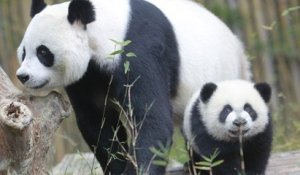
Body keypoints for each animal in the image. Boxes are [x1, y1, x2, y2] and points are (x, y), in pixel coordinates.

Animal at [15, 0, 251, 174]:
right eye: (24, 52)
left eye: (43, 52)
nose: (23, 76)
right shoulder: (88, 77)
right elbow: (98, 123)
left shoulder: (138, 49)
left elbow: (151, 119)